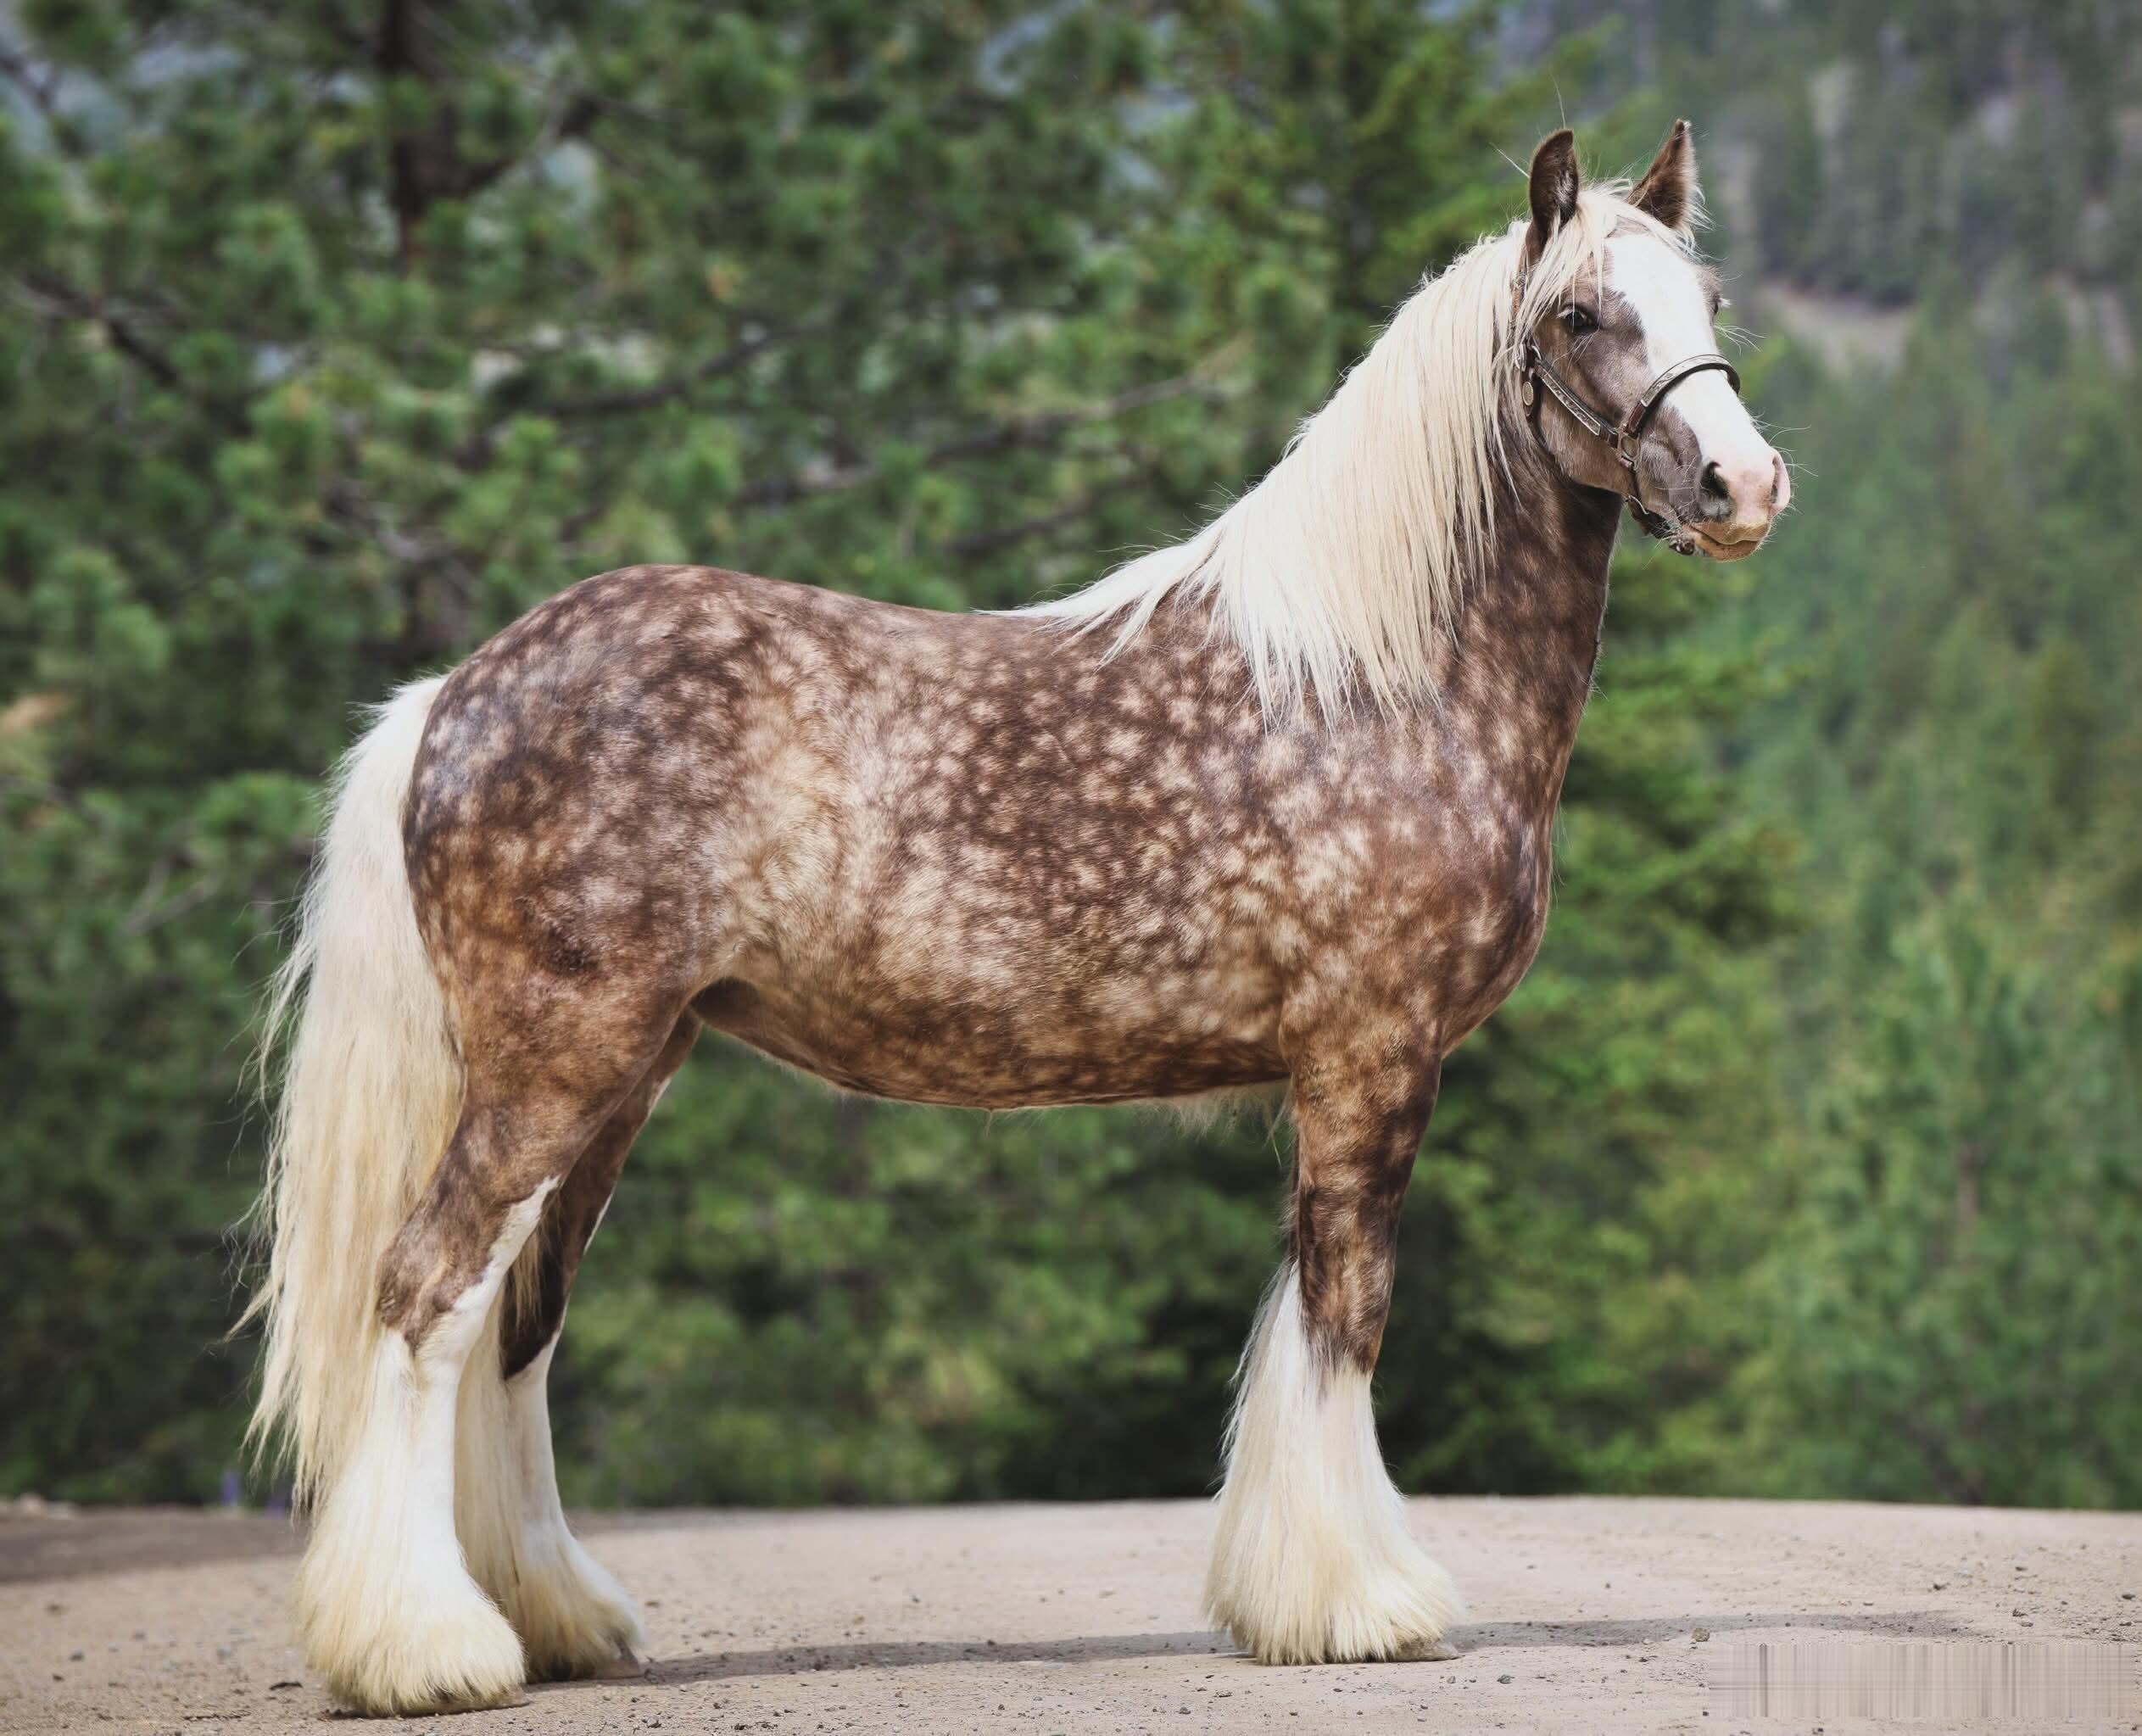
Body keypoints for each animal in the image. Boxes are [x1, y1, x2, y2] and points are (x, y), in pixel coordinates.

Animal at [245, 122, 1788, 1714]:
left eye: (1707, 300)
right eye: (1578, 316)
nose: (1739, 482)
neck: (1374, 679)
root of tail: (454, 695)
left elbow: (1308, 1312)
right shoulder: (1371, 1057)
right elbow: (1345, 1311)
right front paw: (1360, 1602)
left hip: (618, 1075)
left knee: (517, 1323)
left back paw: (551, 1619)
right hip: (556, 1067)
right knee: (426, 1293)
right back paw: (427, 1647)